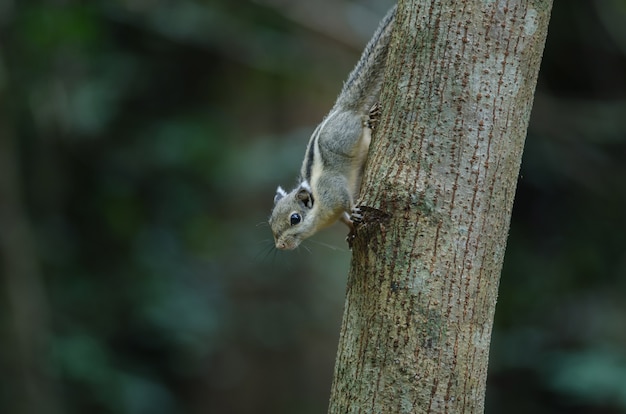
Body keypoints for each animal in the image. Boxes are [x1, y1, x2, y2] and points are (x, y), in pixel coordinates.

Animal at [268, 6, 394, 251]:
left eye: (295, 218)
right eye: (270, 222)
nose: (281, 246)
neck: (320, 210)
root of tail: (340, 108)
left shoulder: (334, 189)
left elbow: (346, 201)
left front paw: (354, 211)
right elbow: (344, 220)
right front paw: (351, 230)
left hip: (347, 132)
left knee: (359, 120)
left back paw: (368, 117)